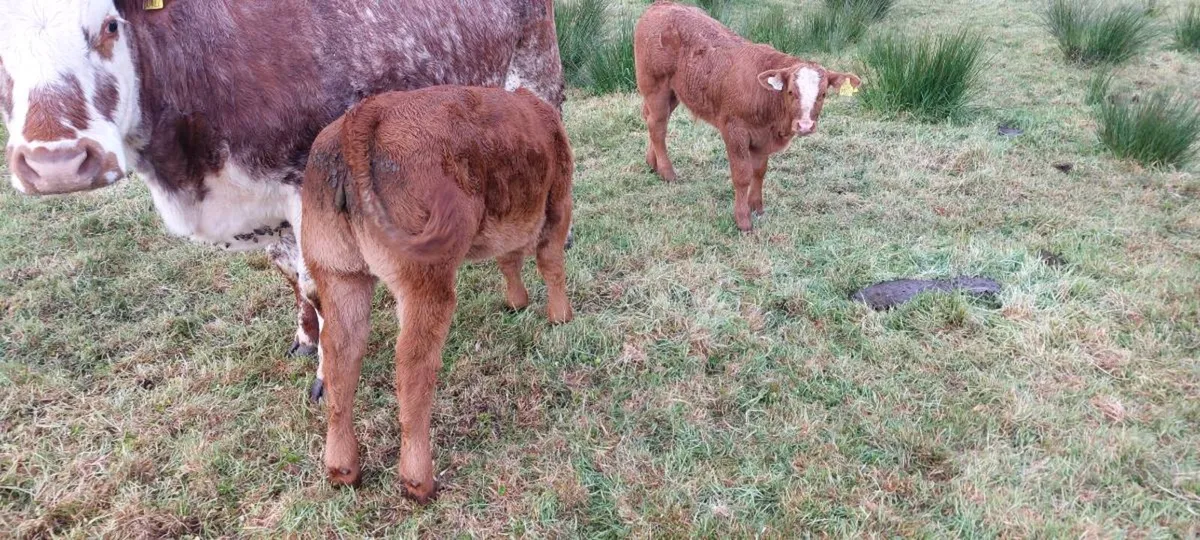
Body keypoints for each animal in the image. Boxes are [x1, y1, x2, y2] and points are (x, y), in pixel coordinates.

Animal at [0, 0, 567, 399]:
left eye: (110, 26)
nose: (56, 163)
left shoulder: (302, 184)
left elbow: (317, 284)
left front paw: (326, 374)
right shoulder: (264, 206)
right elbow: (291, 277)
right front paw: (305, 338)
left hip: (537, 78)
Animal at [302, 85, 574, 502]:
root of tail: (363, 117)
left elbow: (509, 258)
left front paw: (517, 302)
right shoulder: (557, 199)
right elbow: (550, 260)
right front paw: (560, 316)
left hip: (338, 273)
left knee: (340, 355)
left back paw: (342, 469)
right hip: (426, 278)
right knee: (413, 363)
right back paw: (419, 481)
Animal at [633, 1, 862, 232]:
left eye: (823, 94)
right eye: (791, 92)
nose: (805, 125)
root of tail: (662, 5)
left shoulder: (762, 138)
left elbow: (759, 171)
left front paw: (757, 207)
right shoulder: (734, 131)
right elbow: (742, 175)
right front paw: (743, 219)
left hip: (673, 93)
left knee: (652, 121)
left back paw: (652, 162)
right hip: (655, 86)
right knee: (658, 127)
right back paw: (667, 172)